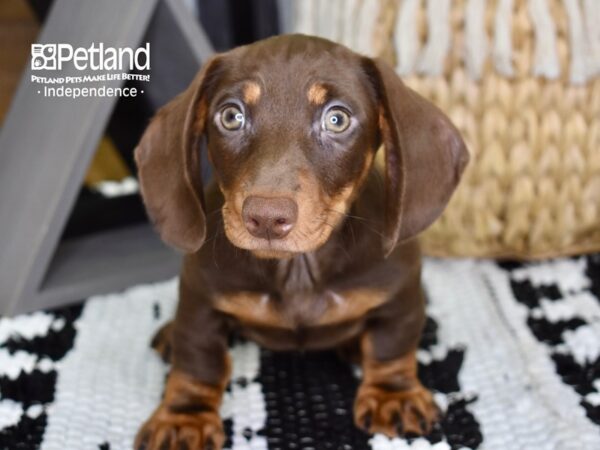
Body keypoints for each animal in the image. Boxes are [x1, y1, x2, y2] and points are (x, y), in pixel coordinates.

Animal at [134, 33, 466, 448]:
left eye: (337, 118)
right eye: (231, 116)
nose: (266, 218)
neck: (298, 269)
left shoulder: (400, 297)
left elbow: (392, 346)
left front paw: (395, 395)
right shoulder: (200, 303)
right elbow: (198, 362)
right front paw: (185, 418)